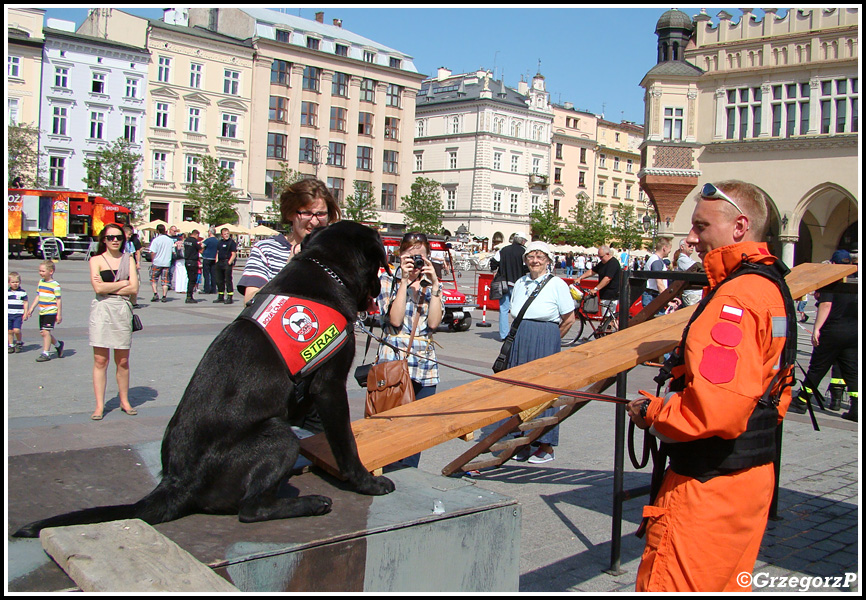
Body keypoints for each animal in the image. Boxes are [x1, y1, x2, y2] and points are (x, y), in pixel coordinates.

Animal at [15, 221, 394, 540]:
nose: (382, 289)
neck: (327, 269)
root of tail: (177, 482)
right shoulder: (329, 387)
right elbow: (346, 445)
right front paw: (365, 482)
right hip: (277, 434)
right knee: (251, 509)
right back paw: (309, 503)